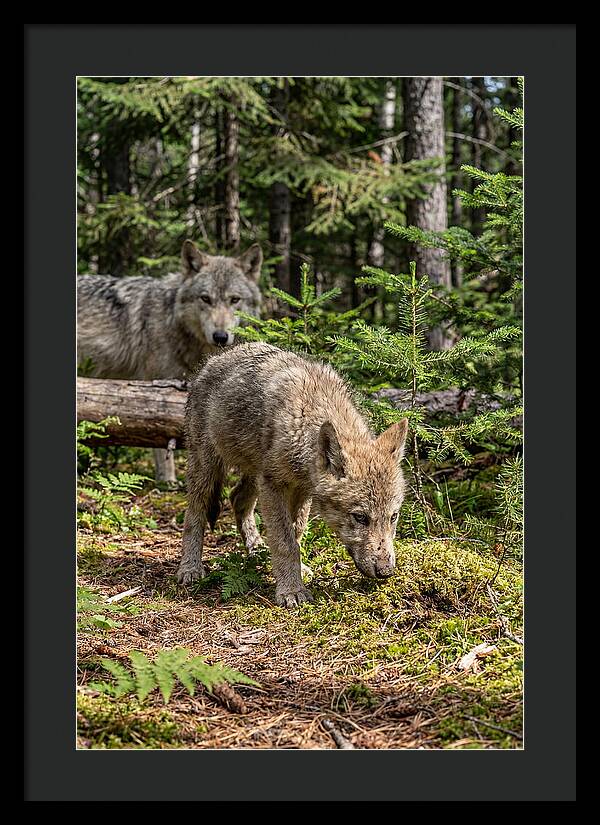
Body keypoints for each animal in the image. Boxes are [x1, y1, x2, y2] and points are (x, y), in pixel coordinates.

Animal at [77, 240, 263, 482]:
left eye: (235, 300)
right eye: (206, 298)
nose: (220, 336)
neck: (172, 321)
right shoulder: (156, 389)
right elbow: (161, 441)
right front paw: (168, 481)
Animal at [177, 342, 409, 607]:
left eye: (393, 517)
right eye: (360, 517)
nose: (385, 571)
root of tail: (213, 360)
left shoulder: (302, 490)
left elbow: (296, 534)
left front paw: (296, 572)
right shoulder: (274, 486)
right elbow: (285, 542)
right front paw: (291, 591)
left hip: (254, 475)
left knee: (237, 498)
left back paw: (256, 550)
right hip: (208, 469)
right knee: (194, 513)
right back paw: (190, 568)